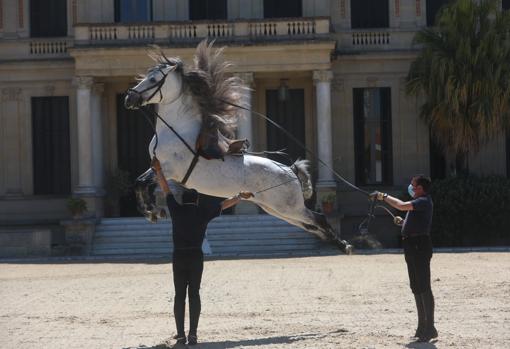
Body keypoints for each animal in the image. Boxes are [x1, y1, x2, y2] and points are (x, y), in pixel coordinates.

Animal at [125, 40, 352, 253]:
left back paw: (344, 246)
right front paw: (151, 212)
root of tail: (290, 169)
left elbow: (142, 183)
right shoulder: (157, 167)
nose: (129, 98)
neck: (177, 130)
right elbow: (139, 182)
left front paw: (153, 211)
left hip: (288, 207)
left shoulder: (170, 169)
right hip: (277, 209)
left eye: (153, 79)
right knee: (311, 225)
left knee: (319, 218)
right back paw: (339, 244)